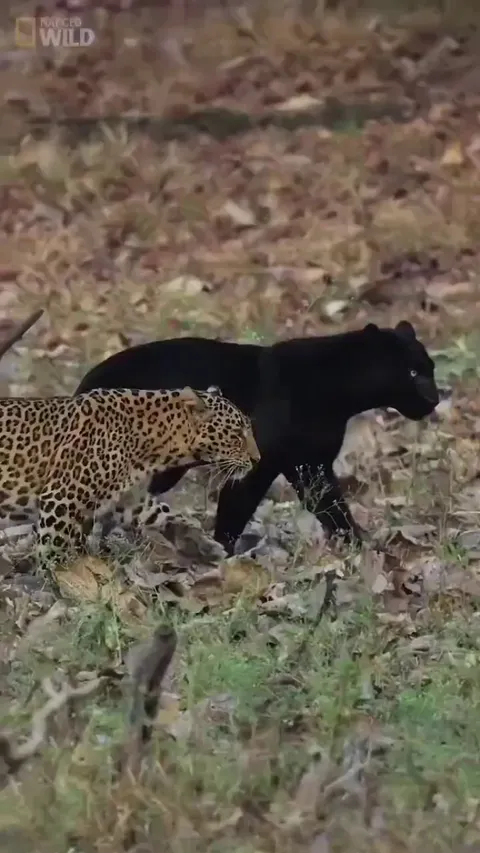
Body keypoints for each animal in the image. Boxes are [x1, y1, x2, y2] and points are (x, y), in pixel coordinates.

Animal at [0, 386, 260, 568]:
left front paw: (203, 545)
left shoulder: (130, 499)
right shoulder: (62, 497)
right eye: (237, 435)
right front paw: (60, 577)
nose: (257, 459)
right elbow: (54, 546)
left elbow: (164, 514)